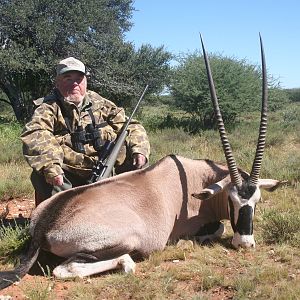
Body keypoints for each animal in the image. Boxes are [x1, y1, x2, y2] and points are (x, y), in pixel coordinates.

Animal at [0, 36, 284, 290]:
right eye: (231, 200)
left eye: (257, 201)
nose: (245, 244)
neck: (193, 178)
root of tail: (43, 224)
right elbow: (217, 227)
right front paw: (190, 241)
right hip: (123, 240)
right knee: (67, 268)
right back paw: (126, 262)